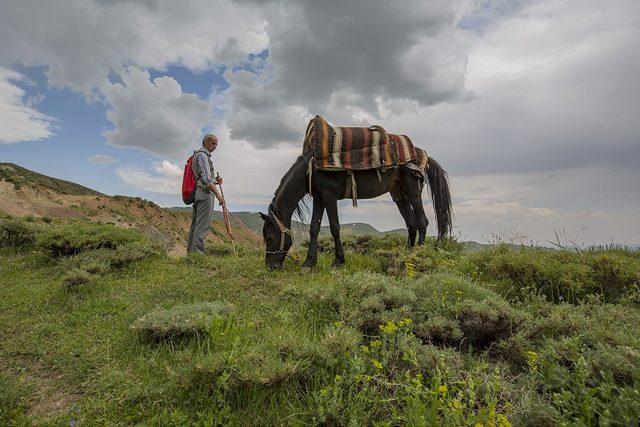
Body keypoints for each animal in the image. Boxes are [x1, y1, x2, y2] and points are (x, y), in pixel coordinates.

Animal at [258, 150, 450, 270]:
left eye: (270, 237)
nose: (270, 267)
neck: (311, 168)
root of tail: (422, 156)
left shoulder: (329, 196)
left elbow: (335, 227)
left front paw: (338, 261)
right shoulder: (320, 198)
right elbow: (314, 228)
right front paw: (309, 263)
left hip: (412, 190)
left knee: (422, 222)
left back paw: (419, 256)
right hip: (399, 194)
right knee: (411, 224)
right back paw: (406, 255)